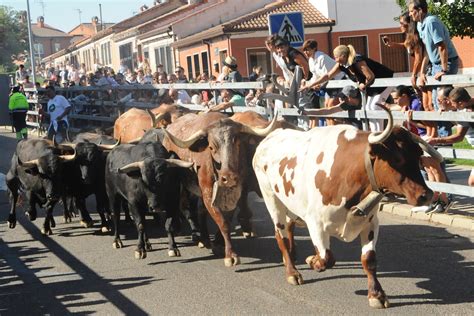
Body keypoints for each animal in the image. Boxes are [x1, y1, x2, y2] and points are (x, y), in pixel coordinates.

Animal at [254, 106, 438, 308]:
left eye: (418, 155)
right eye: (397, 158)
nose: (426, 195)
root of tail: (272, 136)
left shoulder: (370, 222)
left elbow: (368, 259)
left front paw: (376, 294)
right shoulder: (316, 223)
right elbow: (327, 258)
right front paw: (313, 261)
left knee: (289, 226)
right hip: (271, 198)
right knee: (281, 236)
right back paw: (292, 272)